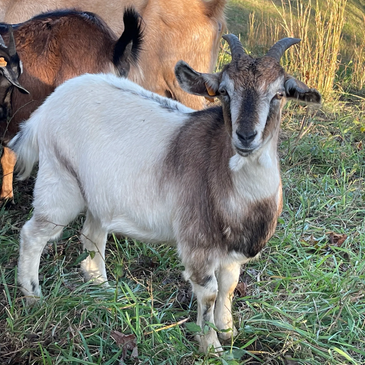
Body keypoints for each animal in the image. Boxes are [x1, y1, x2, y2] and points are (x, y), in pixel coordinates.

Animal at [9, 35, 320, 352]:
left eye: (279, 94)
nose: (246, 136)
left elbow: (230, 285)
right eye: (224, 91)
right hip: (60, 181)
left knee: (92, 235)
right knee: (33, 233)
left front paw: (228, 331)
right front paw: (211, 346)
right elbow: (209, 292)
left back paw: (103, 288)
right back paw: (34, 296)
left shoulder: (233, 252)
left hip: (98, 195)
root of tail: (45, 109)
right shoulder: (197, 244)